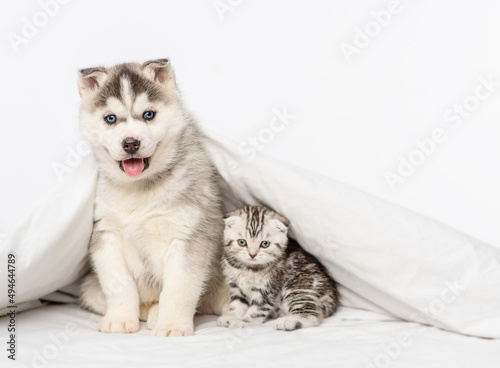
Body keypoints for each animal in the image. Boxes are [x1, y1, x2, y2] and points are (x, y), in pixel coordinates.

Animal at [78, 59, 229, 336]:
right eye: (110, 118)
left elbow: (179, 287)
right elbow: (120, 284)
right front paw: (119, 319)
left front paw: (172, 325)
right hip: (89, 289)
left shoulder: (188, 237)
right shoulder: (106, 235)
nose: (130, 143)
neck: (140, 189)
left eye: (149, 115)